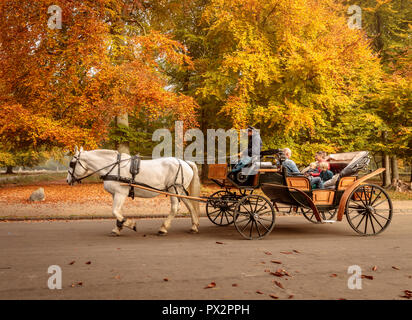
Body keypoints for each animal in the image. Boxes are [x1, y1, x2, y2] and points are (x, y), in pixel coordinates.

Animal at [67, 148, 200, 235]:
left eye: (72, 163)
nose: (68, 180)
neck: (114, 167)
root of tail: (185, 162)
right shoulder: (116, 194)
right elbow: (118, 211)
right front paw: (118, 227)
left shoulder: (120, 193)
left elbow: (115, 211)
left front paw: (129, 224)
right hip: (180, 191)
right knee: (190, 206)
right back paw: (194, 226)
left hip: (174, 189)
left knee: (175, 208)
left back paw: (163, 228)